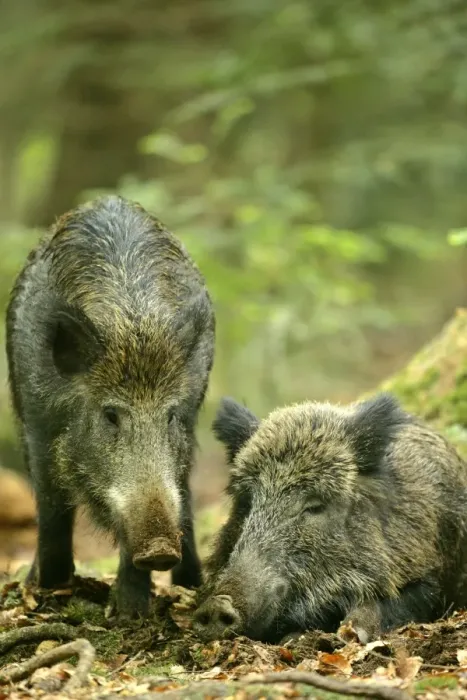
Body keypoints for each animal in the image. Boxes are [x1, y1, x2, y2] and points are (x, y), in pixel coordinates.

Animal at [6, 195, 215, 618]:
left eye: (170, 414)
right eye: (110, 415)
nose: (159, 549)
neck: (131, 324)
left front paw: (129, 614)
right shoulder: (38, 427)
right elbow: (52, 513)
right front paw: (50, 592)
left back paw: (191, 586)